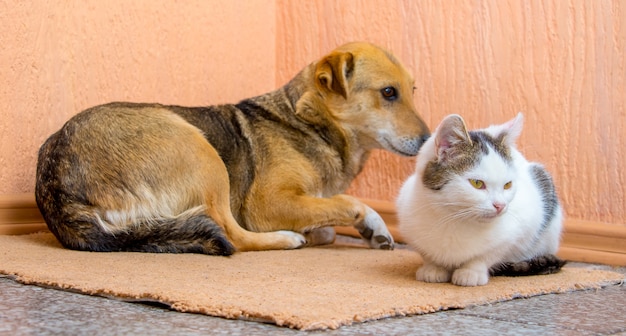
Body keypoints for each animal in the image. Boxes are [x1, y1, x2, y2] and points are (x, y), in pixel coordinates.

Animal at [35, 42, 428, 255]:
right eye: (388, 93)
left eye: (413, 90)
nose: (429, 141)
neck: (309, 121)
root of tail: (57, 187)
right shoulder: (268, 204)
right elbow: (349, 203)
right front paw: (369, 222)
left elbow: (328, 222)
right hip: (200, 149)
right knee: (231, 234)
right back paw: (286, 239)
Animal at [398, 113, 564, 286]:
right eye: (477, 183)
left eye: (507, 185)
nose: (500, 205)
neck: (452, 217)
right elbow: (427, 254)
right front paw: (433, 268)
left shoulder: (519, 228)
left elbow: (488, 254)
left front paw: (472, 272)